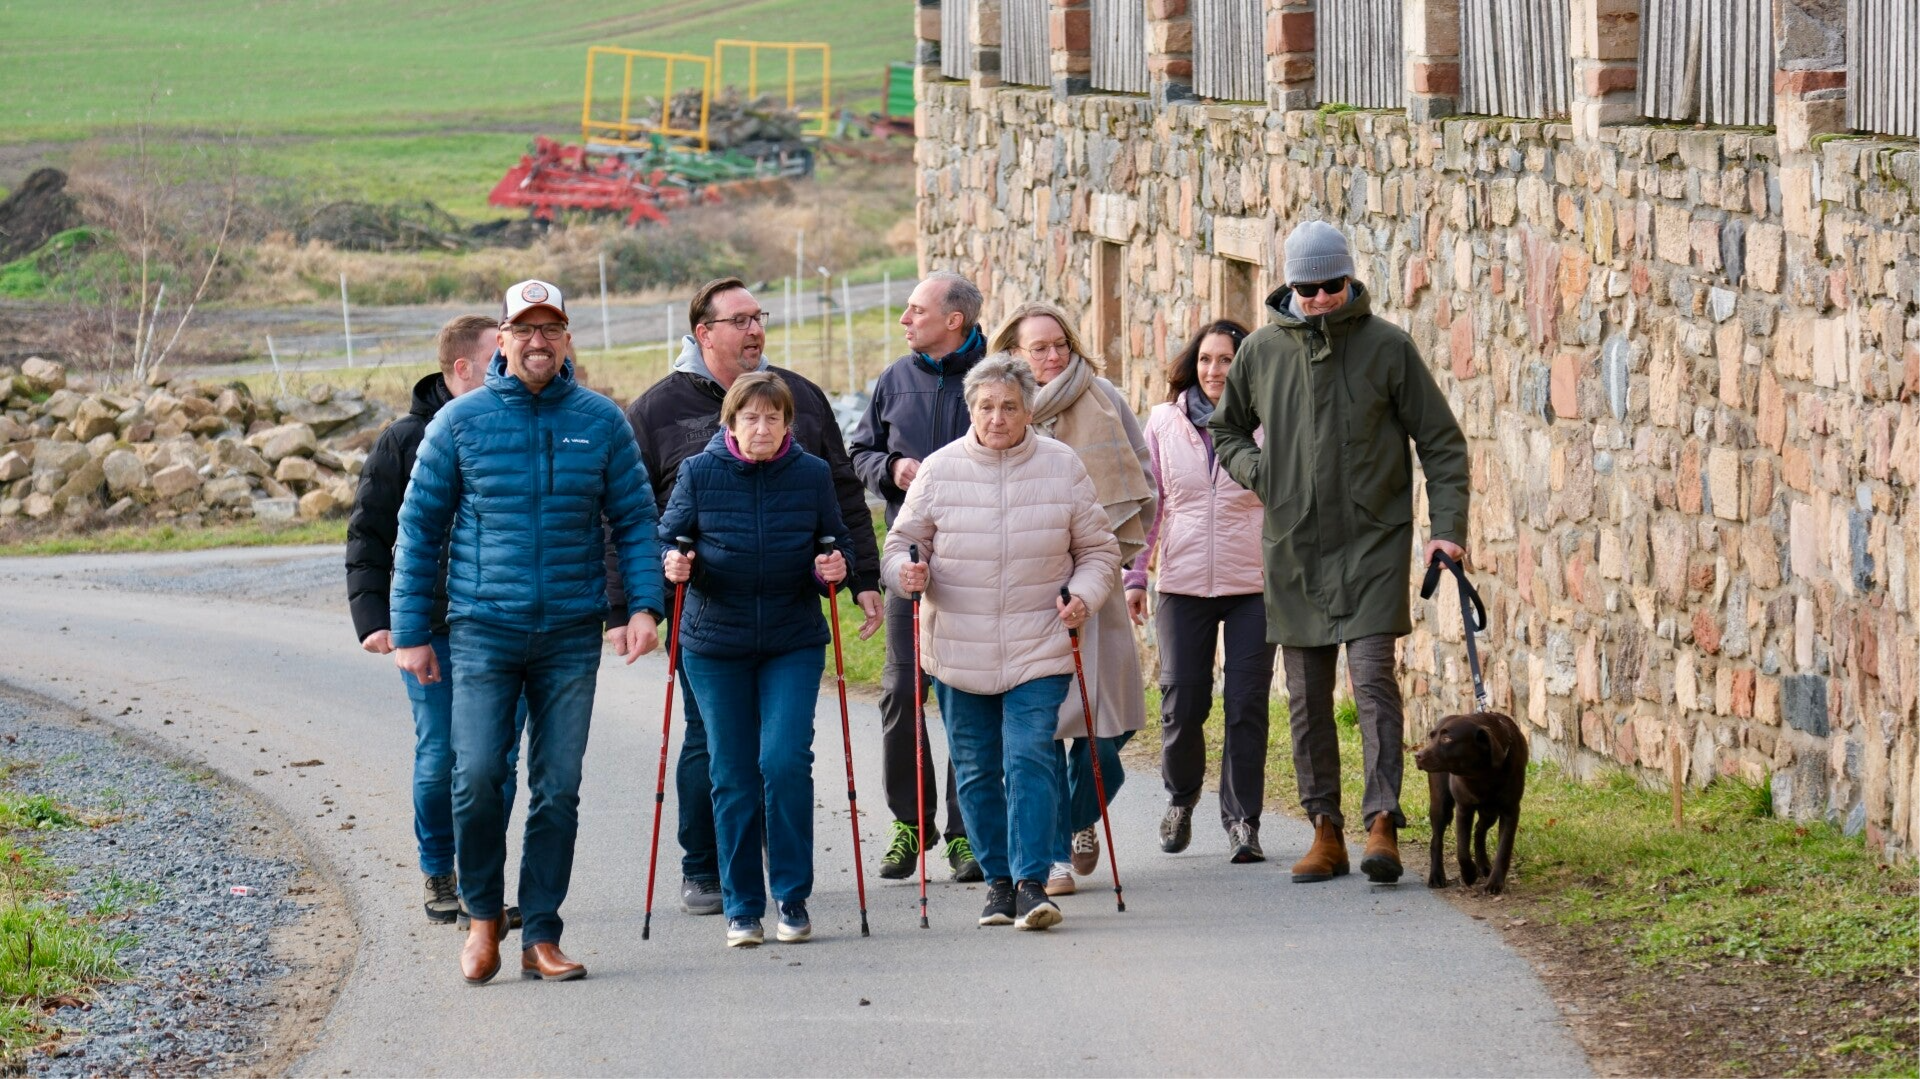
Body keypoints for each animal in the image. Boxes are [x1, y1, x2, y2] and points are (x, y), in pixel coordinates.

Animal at [1413, 711, 1528, 895]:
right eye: (1431, 736)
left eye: (1447, 739)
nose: (1417, 755)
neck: (1482, 775)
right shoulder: (1464, 808)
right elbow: (1462, 850)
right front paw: (1469, 874)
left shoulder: (1510, 811)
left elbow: (1504, 849)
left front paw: (1495, 883)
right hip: (1441, 804)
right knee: (1436, 840)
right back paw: (1437, 876)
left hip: (1490, 812)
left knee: (1479, 830)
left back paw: (1484, 865)